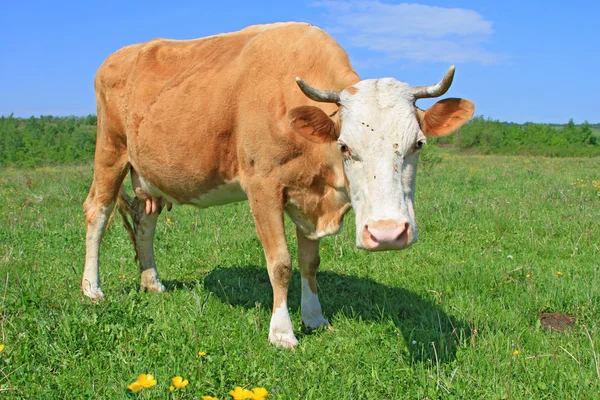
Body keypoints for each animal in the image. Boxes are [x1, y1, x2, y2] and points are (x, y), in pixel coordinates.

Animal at [83, 21, 474, 346]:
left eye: (418, 144)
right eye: (345, 146)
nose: (388, 234)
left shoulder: (310, 196)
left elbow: (310, 262)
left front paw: (315, 318)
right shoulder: (263, 187)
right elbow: (281, 263)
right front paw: (282, 332)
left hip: (151, 175)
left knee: (144, 222)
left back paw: (152, 282)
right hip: (111, 149)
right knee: (97, 212)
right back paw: (91, 289)